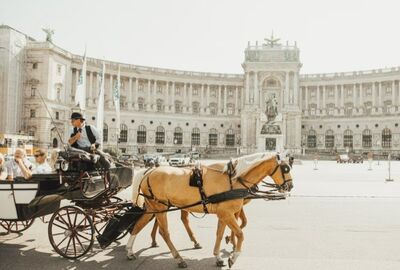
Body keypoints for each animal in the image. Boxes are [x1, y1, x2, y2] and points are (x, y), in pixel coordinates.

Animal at [128, 154, 294, 268]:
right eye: (285, 168)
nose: (290, 186)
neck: (233, 180)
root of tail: (149, 171)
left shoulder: (224, 214)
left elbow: (220, 234)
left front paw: (219, 256)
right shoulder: (227, 213)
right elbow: (240, 233)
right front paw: (233, 256)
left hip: (153, 207)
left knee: (139, 224)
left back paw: (130, 251)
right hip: (160, 207)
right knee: (164, 232)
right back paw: (179, 258)